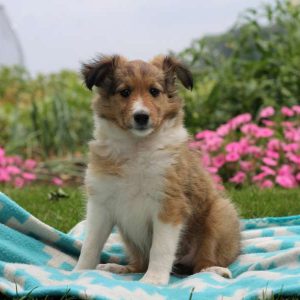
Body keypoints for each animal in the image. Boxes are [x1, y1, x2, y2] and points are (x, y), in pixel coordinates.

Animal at [75, 55, 241, 284]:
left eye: (154, 91)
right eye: (124, 92)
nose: (141, 117)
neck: (137, 146)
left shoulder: (169, 205)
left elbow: (160, 249)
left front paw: (153, 280)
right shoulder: (100, 204)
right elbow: (90, 245)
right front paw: (79, 272)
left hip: (220, 214)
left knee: (202, 261)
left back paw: (214, 270)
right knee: (139, 263)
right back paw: (117, 268)